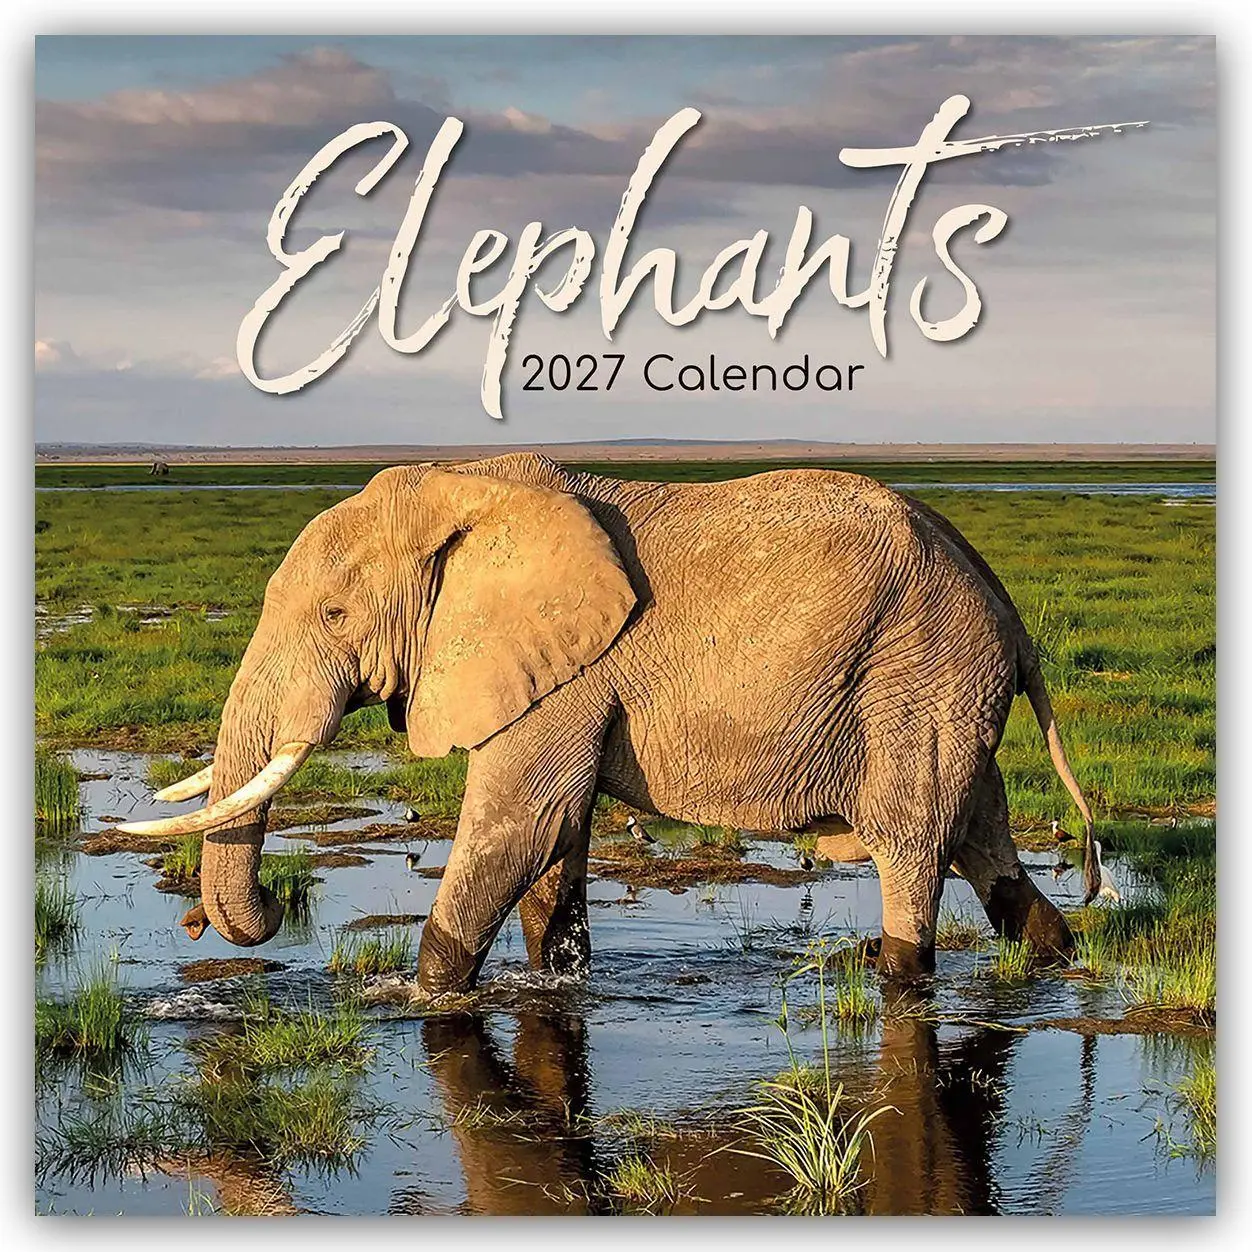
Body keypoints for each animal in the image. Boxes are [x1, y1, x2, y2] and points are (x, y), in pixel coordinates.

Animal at [121, 452, 1098, 992]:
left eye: (334, 616)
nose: (207, 922)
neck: (464, 488)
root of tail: (1007, 610)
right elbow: (557, 843)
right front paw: (559, 983)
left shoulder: (563, 673)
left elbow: (521, 823)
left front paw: (423, 997)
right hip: (946, 687)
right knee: (980, 832)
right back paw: (1057, 955)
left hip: (919, 674)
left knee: (910, 841)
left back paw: (896, 972)